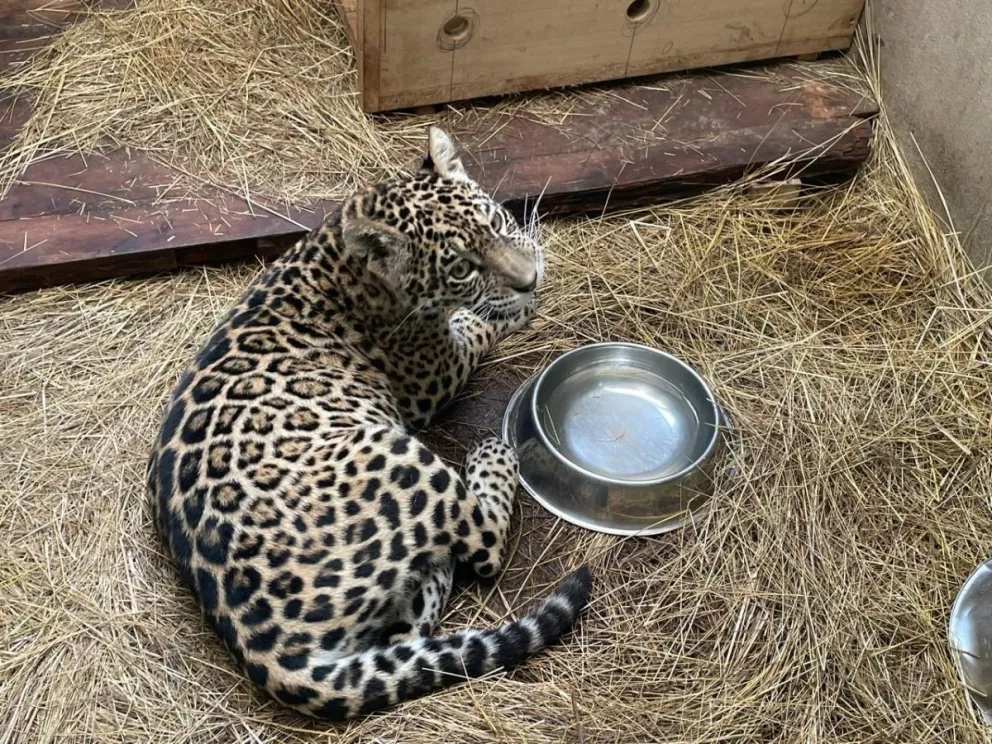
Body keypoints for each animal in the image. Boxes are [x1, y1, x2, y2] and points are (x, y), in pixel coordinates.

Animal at [146, 126, 592, 721]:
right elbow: (477, 326)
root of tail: (271, 653)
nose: (530, 278)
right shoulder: (434, 373)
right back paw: (491, 458)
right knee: (484, 547)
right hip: (401, 455)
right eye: (461, 268)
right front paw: (514, 306)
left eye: (497, 222)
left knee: (411, 629)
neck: (341, 250)